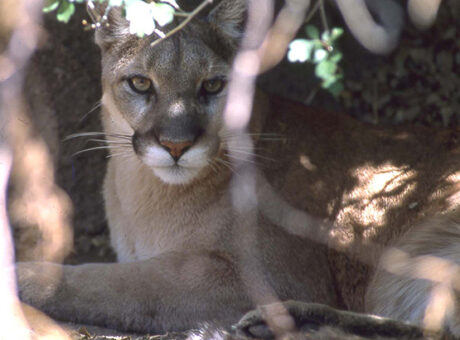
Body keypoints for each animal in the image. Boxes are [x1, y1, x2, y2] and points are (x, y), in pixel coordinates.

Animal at [16, 0, 458, 338]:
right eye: (140, 83)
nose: (176, 145)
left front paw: (23, 277)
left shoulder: (264, 274)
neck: (144, 192)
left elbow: (120, 282)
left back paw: (286, 320)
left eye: (212, 86)